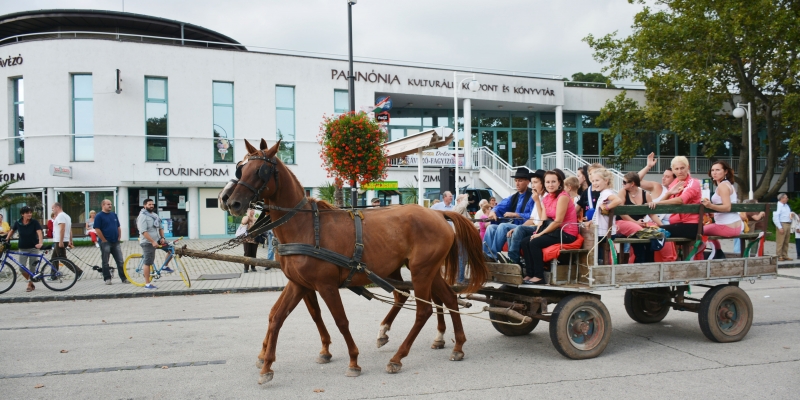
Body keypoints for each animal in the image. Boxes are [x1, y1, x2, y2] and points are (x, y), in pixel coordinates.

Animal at [219, 138, 488, 384]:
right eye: (241, 168)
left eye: (260, 171)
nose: (231, 202)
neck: (306, 227)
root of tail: (438, 213)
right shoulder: (298, 283)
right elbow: (276, 316)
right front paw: (266, 365)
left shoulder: (325, 285)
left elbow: (340, 320)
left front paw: (353, 361)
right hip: (424, 270)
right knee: (447, 298)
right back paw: (457, 345)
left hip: (421, 271)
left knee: (423, 310)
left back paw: (398, 357)